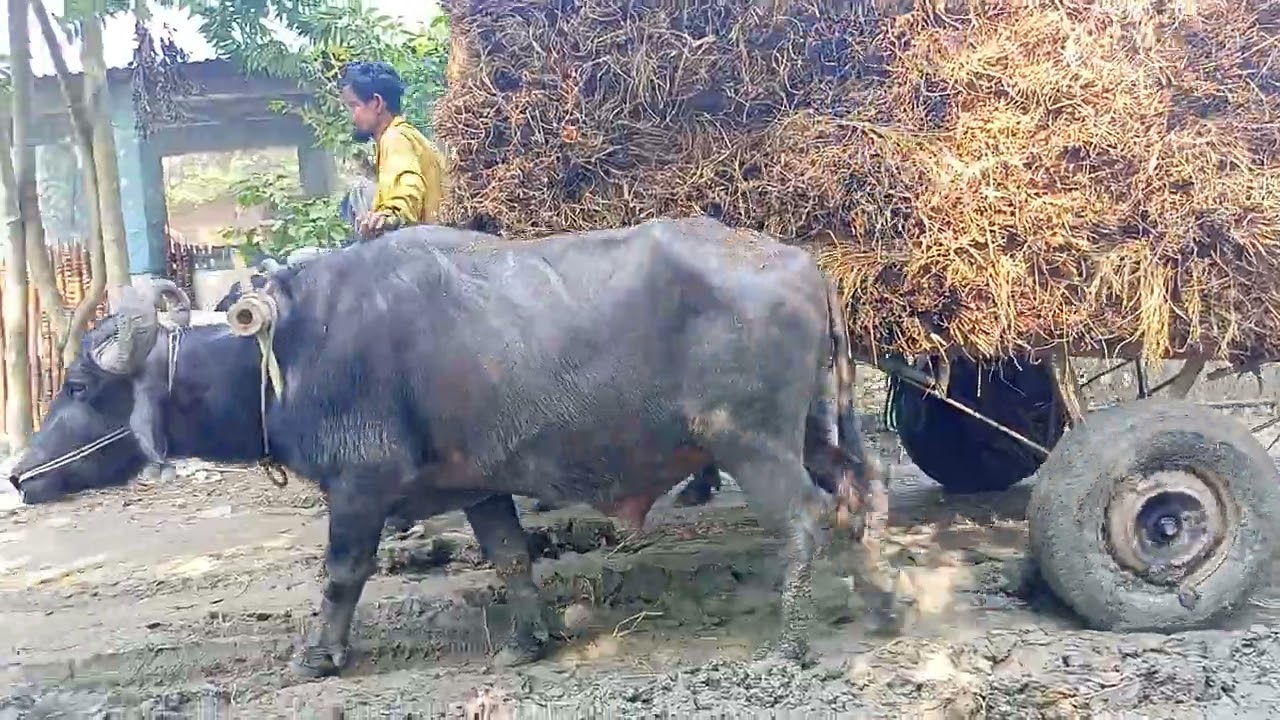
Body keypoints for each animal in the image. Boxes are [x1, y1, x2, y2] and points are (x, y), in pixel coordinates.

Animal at [10, 217, 888, 678]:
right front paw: (529, 641)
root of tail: (805, 266)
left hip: (752, 442)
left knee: (806, 518)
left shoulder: (359, 489)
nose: (18, 475)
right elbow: (510, 557)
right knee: (859, 493)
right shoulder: (480, 486)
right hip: (814, 431)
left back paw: (790, 640)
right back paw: (880, 602)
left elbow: (342, 576)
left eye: (80, 385)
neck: (289, 350)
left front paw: (319, 656)